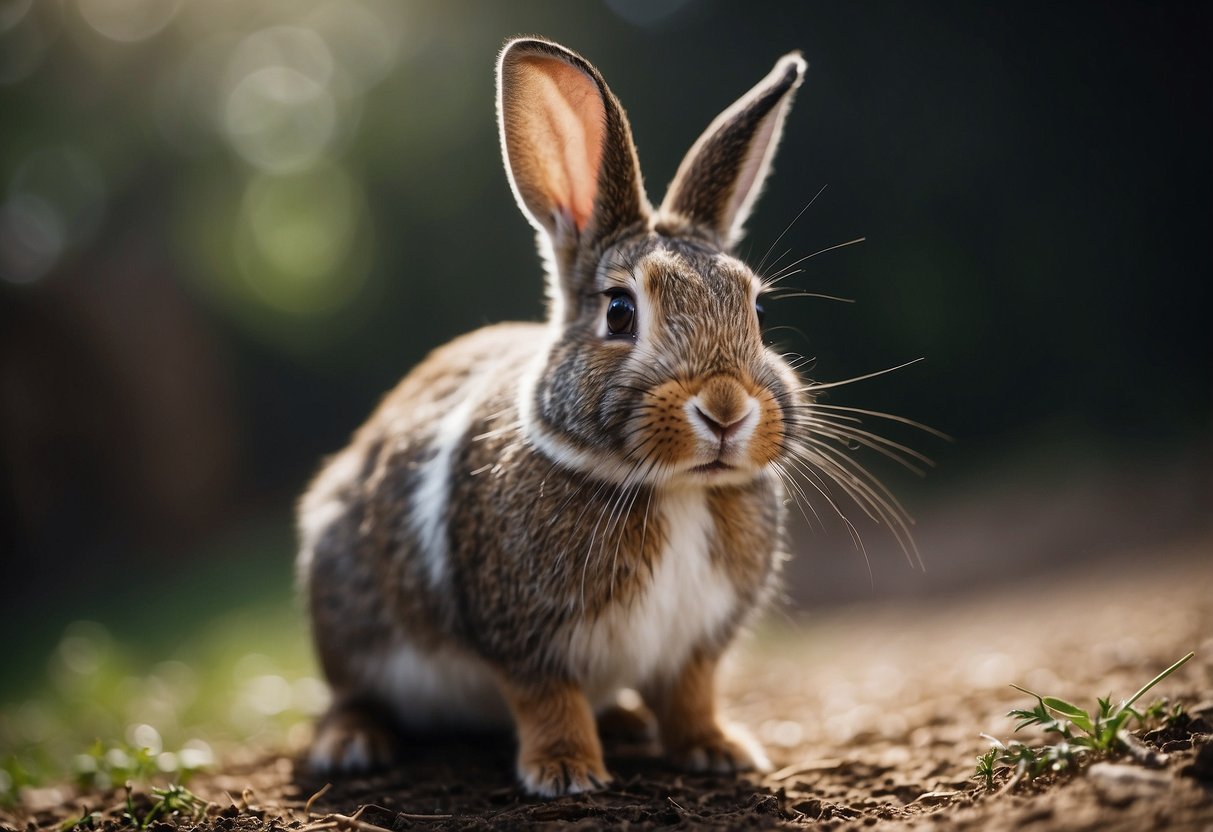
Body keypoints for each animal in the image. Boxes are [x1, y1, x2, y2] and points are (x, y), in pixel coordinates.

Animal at [299, 35, 815, 800]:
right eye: (620, 312)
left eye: (755, 309)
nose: (725, 409)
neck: (673, 490)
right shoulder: (526, 638)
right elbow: (548, 699)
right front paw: (566, 771)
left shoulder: (696, 646)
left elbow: (692, 694)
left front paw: (718, 750)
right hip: (343, 607)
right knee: (350, 692)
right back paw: (352, 745)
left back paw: (627, 719)